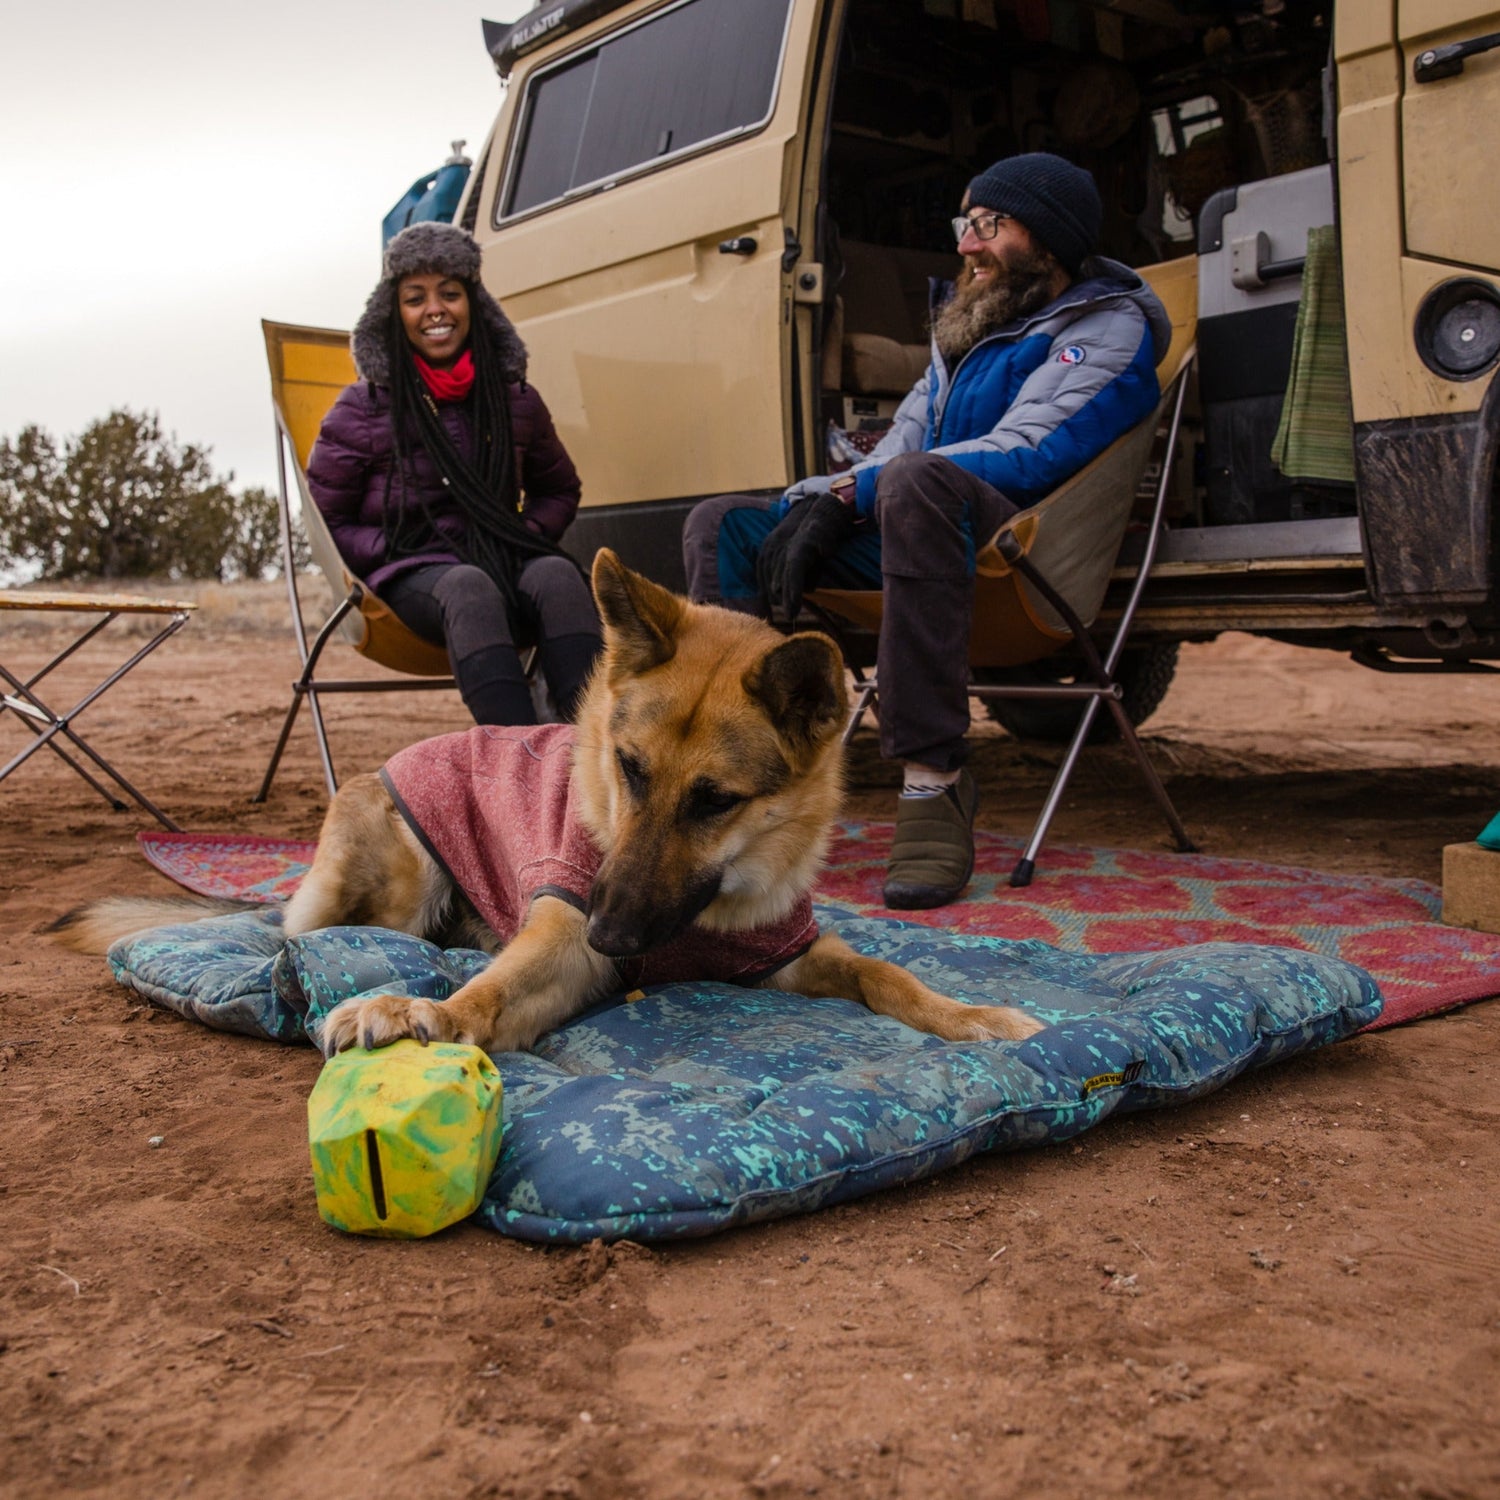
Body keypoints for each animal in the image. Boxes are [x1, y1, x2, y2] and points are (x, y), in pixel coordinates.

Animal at [58, 552, 1044, 1056]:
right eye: (629, 769)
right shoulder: (564, 935)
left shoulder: (789, 953)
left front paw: (973, 1016)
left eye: (715, 801)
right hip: (402, 878)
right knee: (297, 933)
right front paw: (426, 1012)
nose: (611, 934)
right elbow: (495, 993)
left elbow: (885, 973)